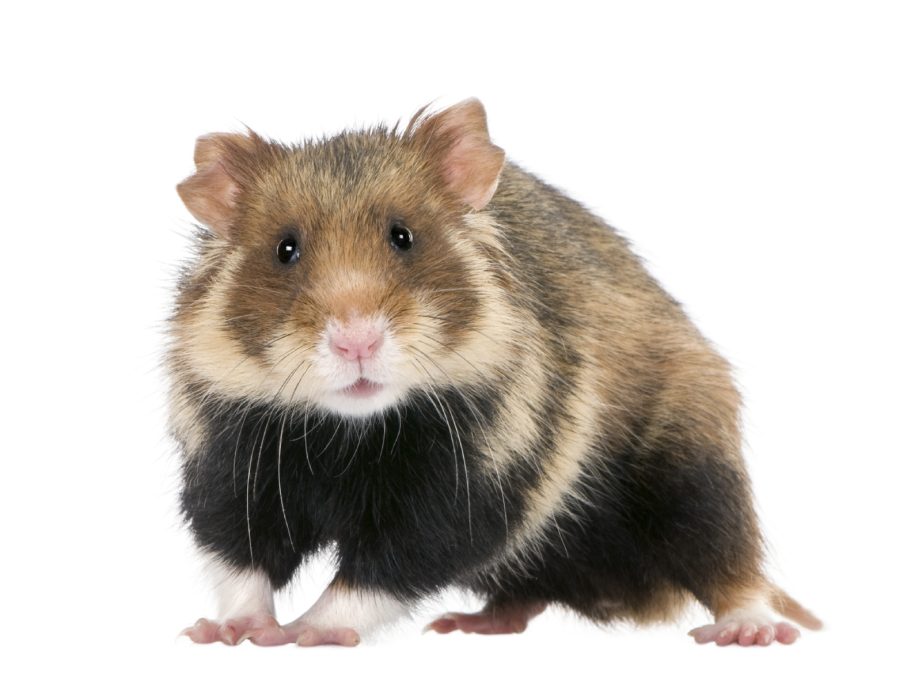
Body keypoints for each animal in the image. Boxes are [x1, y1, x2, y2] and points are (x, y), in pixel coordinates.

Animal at [169, 98, 821, 647]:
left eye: (403, 237)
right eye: (286, 249)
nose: (357, 340)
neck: (350, 429)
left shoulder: (478, 480)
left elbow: (384, 569)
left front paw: (305, 632)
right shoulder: (226, 461)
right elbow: (241, 560)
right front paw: (226, 632)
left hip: (694, 459)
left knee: (729, 560)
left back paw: (751, 629)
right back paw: (471, 623)